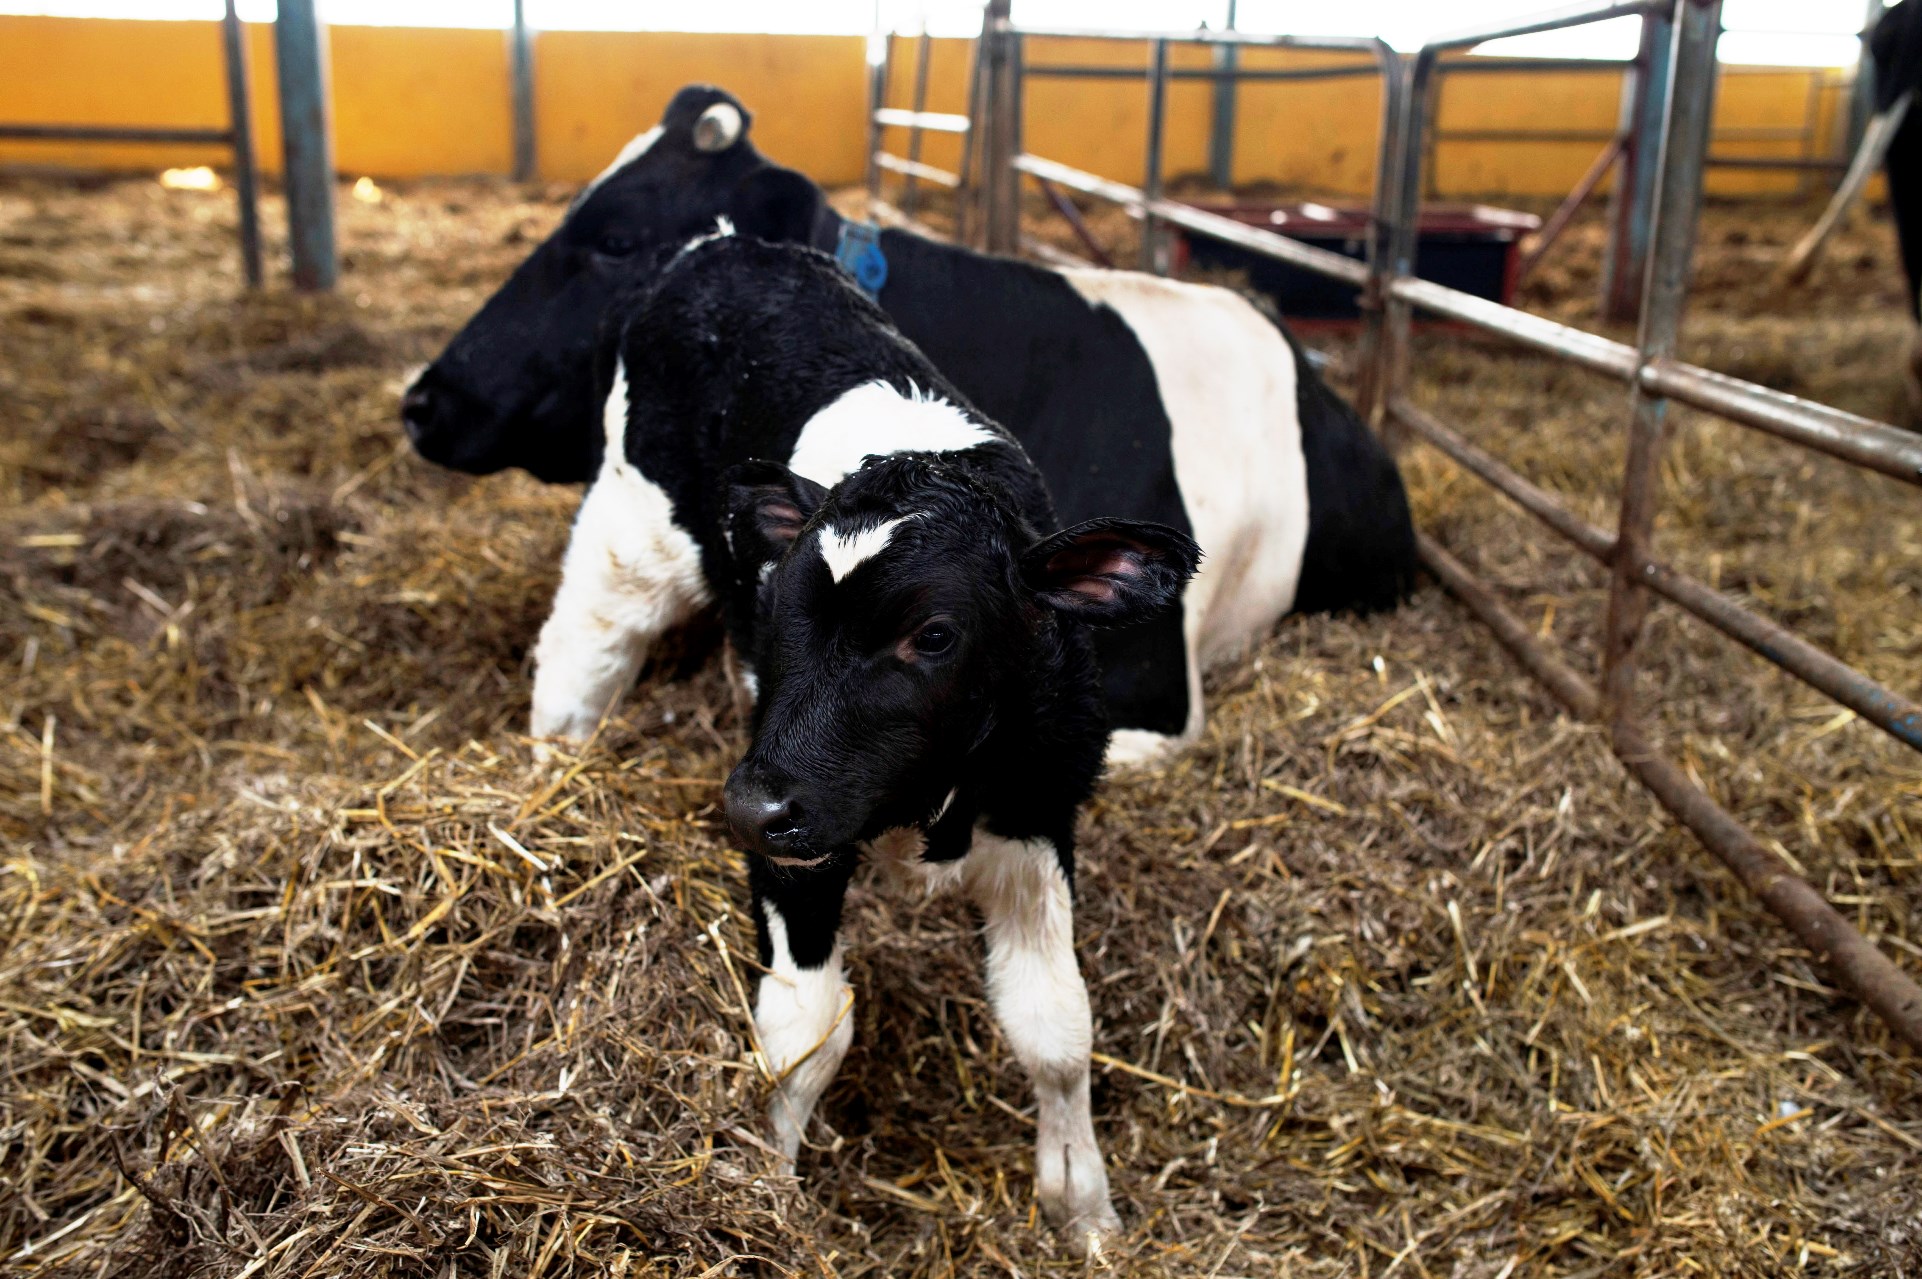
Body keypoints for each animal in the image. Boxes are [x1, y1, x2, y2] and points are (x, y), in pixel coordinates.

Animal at [545, 229, 1199, 1246]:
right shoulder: (790, 837)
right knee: (579, 654)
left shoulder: (1040, 814)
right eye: (774, 606)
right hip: (631, 530)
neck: (925, 802)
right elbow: (806, 1032)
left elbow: (1056, 1027)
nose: (750, 803)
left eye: (933, 635)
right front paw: (762, 1193)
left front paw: (1083, 1204)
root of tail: (726, 244)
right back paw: (545, 773)